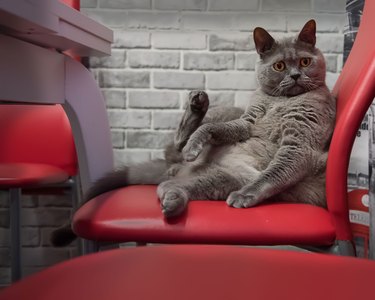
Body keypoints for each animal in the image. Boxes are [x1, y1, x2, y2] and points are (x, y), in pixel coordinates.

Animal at [51, 19, 336, 247]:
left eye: (305, 61)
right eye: (279, 66)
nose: (296, 75)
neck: (279, 102)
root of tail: (172, 168)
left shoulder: (299, 142)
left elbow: (275, 172)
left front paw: (245, 196)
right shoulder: (246, 121)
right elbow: (215, 129)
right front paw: (195, 144)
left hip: (227, 177)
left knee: (172, 186)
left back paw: (173, 201)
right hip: (223, 120)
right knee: (179, 143)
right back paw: (197, 109)